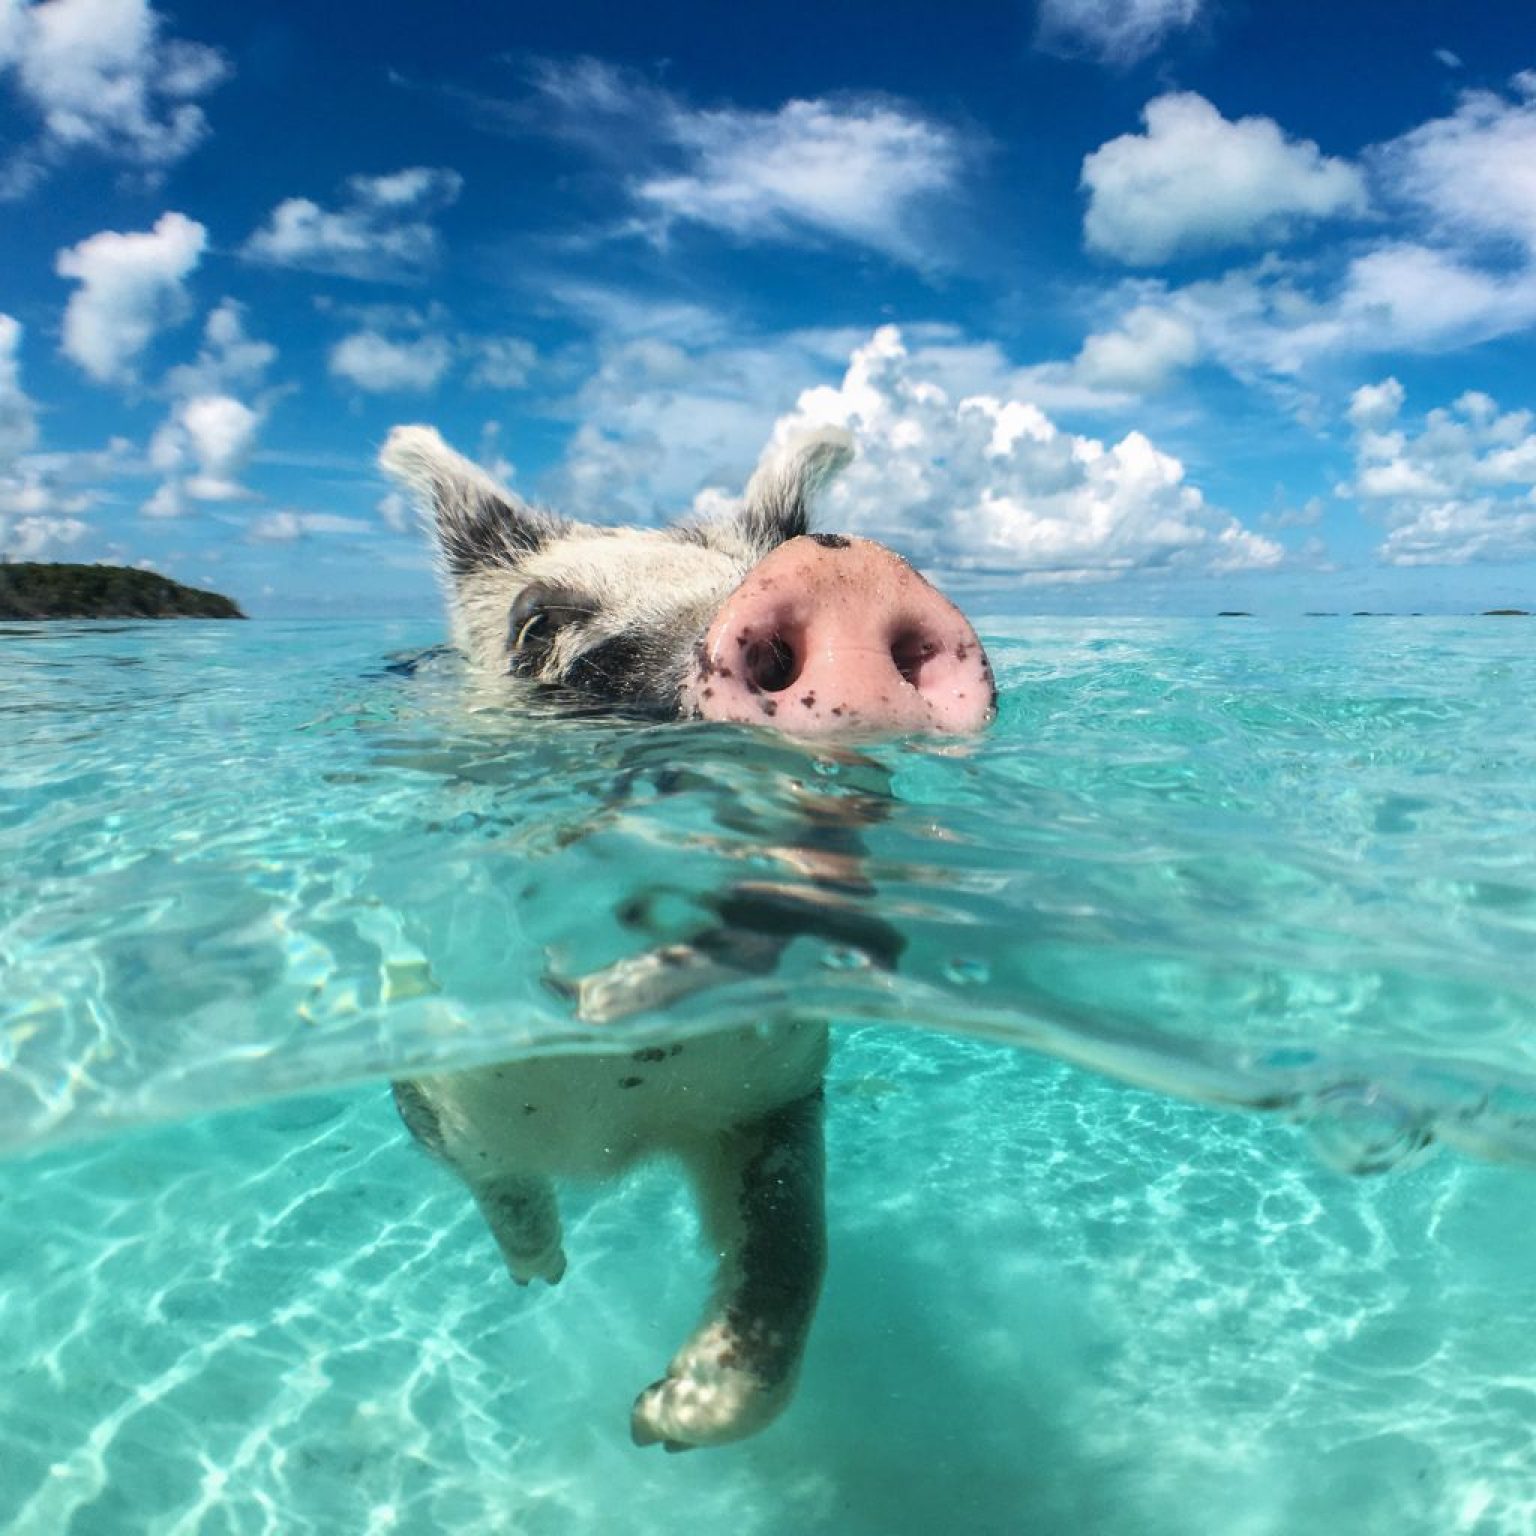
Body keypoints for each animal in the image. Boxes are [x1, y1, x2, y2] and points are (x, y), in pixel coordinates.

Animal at [378, 423, 994, 1450]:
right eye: (535, 626)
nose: (843, 570)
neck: (613, 1113)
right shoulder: (432, 1077)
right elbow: (496, 1179)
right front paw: (542, 1276)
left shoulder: (777, 1094)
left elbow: (794, 1245)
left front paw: (657, 1418)